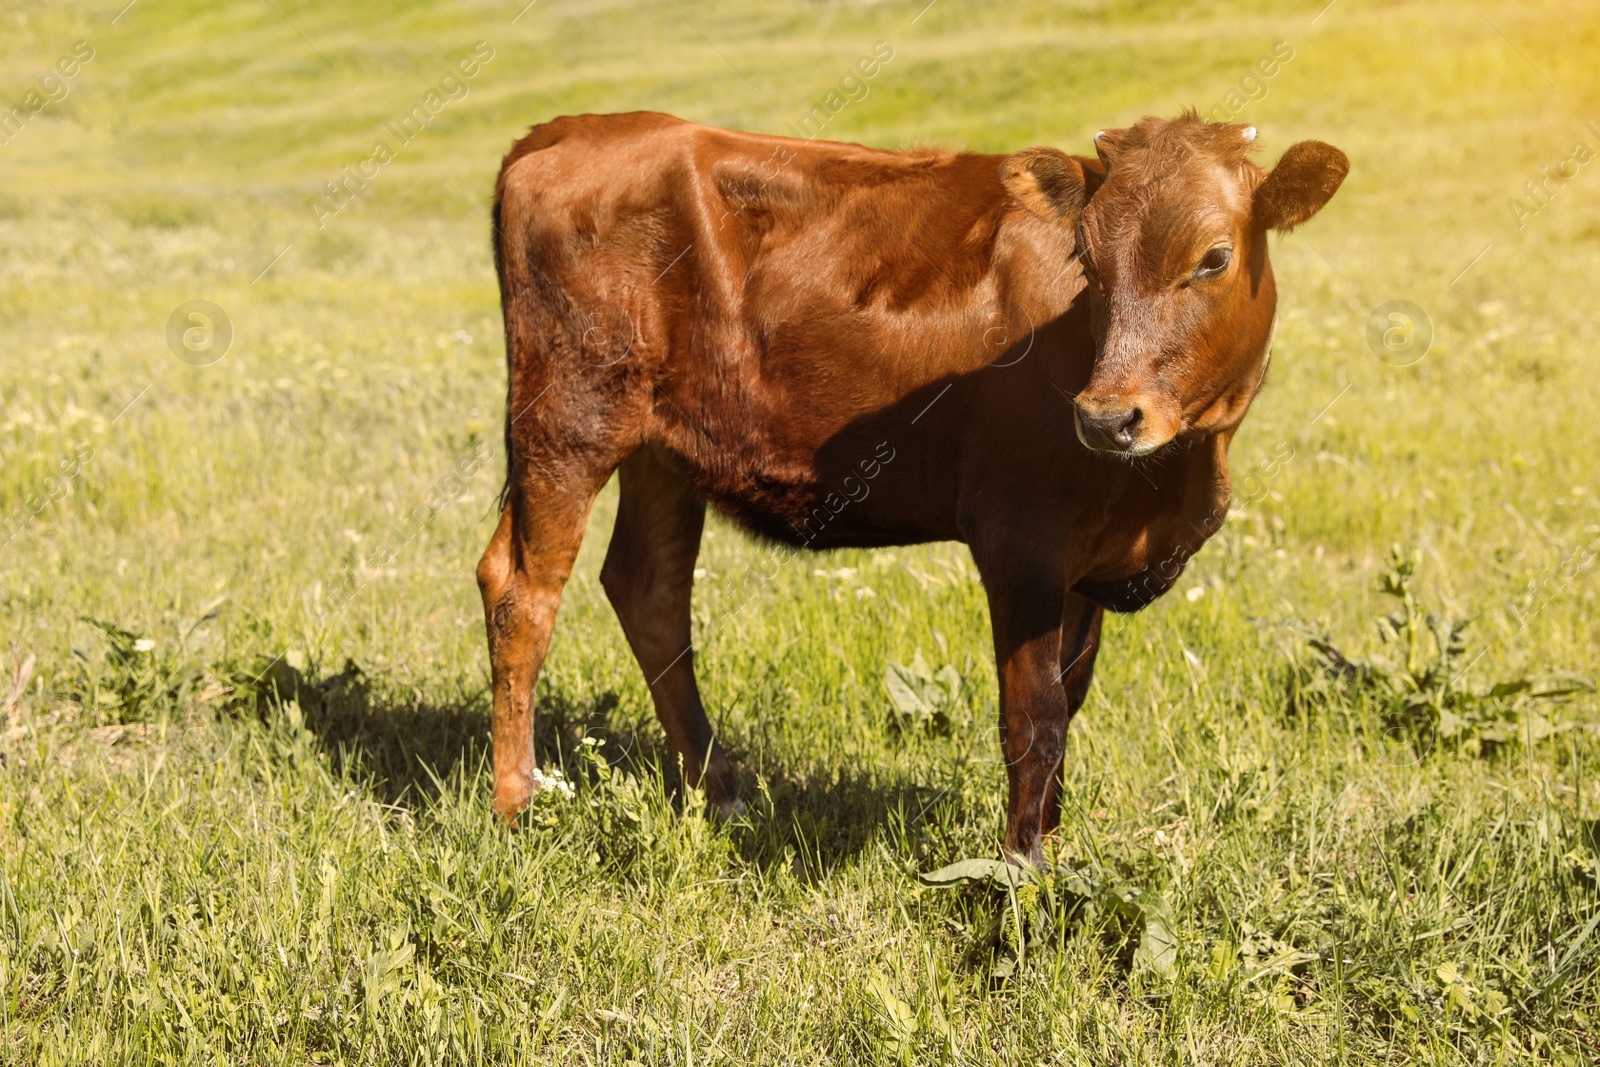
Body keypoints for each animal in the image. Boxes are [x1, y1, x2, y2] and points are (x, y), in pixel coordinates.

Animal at [476, 112, 1350, 870]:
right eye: (1087, 259)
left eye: (1213, 258)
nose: (1107, 417)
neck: (1175, 483)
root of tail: (570, 130)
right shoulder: (1019, 539)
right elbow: (1035, 717)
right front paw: (1022, 871)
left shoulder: (1091, 557)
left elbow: (1072, 697)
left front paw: (1052, 841)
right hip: (569, 418)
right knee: (523, 592)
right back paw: (515, 806)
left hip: (661, 451)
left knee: (649, 590)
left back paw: (720, 790)